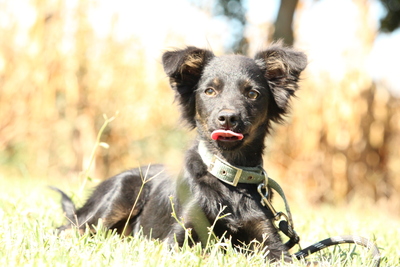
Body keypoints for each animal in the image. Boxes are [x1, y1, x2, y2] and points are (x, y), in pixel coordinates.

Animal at [53, 43, 308, 262]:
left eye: (253, 94)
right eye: (210, 91)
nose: (228, 118)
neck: (227, 174)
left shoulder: (269, 241)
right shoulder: (178, 238)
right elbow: (201, 251)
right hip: (117, 198)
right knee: (68, 230)